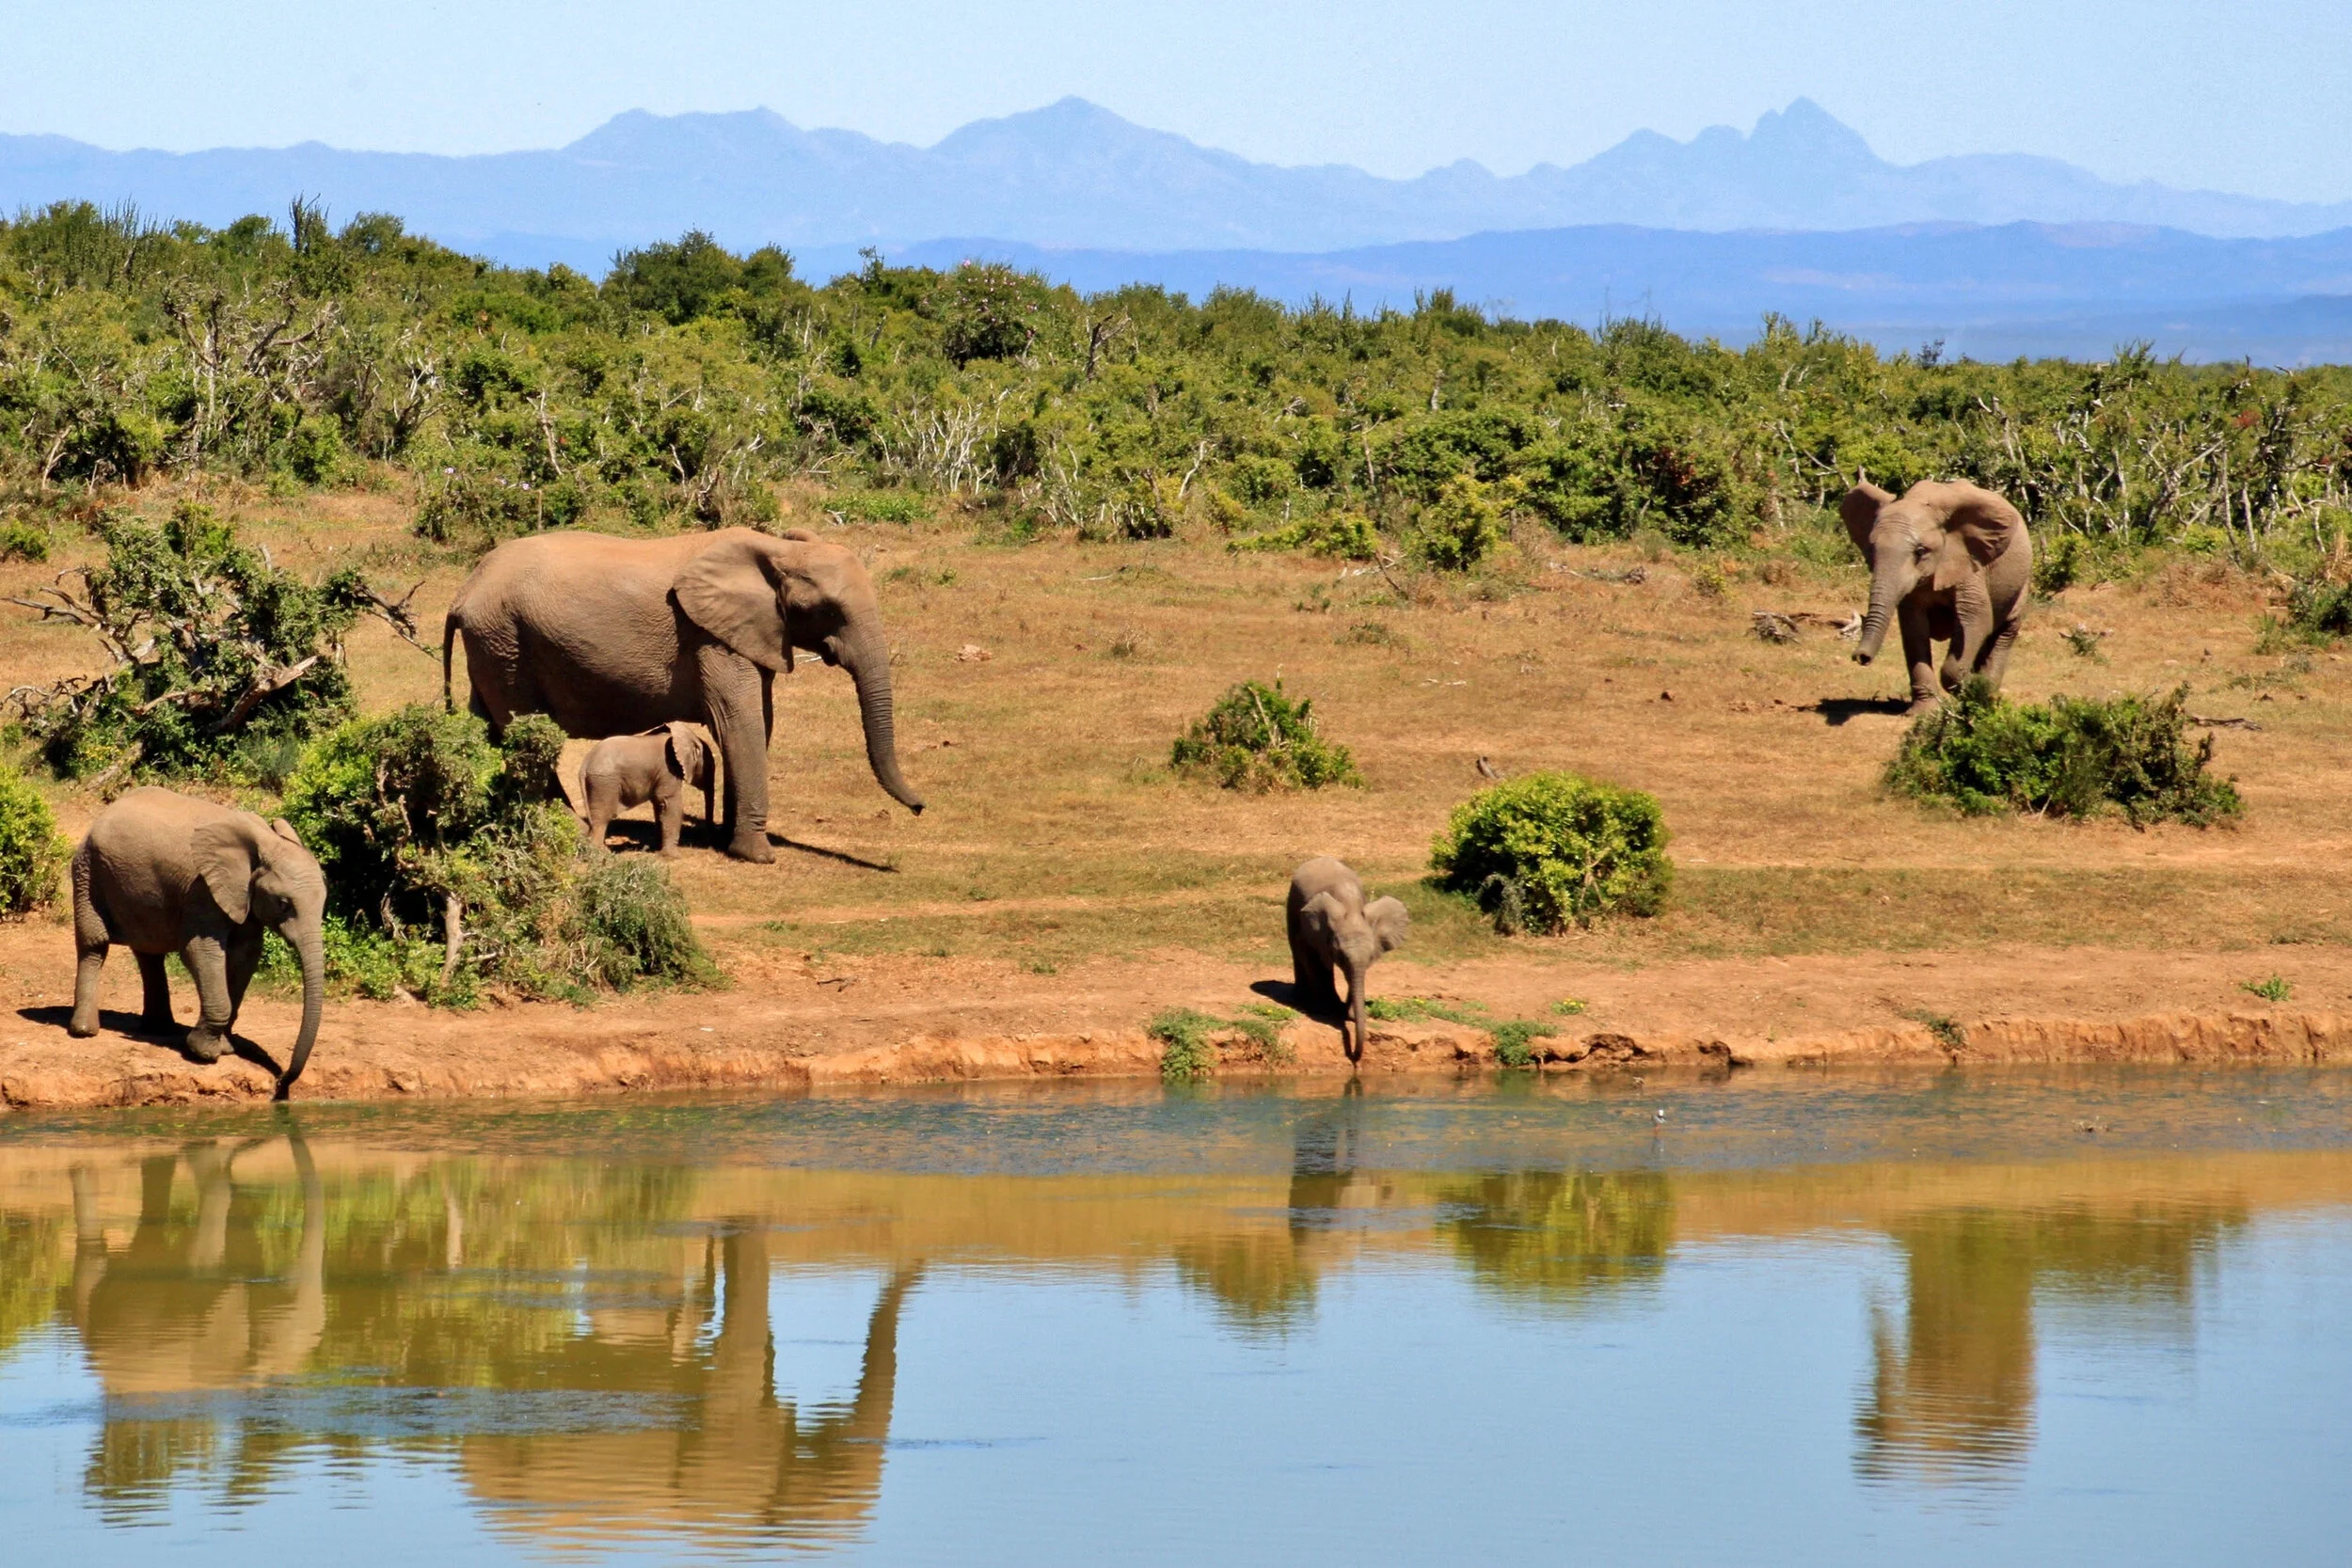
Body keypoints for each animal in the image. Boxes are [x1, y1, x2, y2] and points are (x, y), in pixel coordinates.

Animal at [69, 787, 327, 1100]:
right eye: (284, 903)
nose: (281, 1084)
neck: (264, 841)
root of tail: (105, 812)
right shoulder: (202, 888)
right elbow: (200, 951)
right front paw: (203, 1053)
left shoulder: (243, 896)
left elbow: (245, 956)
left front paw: (225, 1048)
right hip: (88, 870)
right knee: (95, 944)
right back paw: (84, 1031)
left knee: (149, 951)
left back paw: (159, 1029)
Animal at [581, 722, 717, 856]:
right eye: (709, 768)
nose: (709, 844)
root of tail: (585, 763)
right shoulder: (668, 771)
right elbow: (670, 803)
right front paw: (672, 856)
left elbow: (659, 805)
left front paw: (658, 848)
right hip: (604, 783)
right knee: (602, 816)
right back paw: (601, 851)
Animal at [1287, 856, 1409, 1065]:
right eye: (1340, 956)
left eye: (1371, 957)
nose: (1354, 1057)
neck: (1351, 908)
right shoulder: (1312, 931)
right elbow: (1310, 955)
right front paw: (1327, 1010)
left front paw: (1349, 1014)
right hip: (1291, 901)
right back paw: (1302, 998)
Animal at [1844, 480, 2033, 714]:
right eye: (1871, 549)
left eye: (1920, 551)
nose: (1860, 657)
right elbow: (1914, 629)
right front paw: (1924, 713)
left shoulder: (1967, 562)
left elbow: (1976, 618)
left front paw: (1972, 684)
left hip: (2022, 581)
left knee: (2006, 630)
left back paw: (1985, 695)